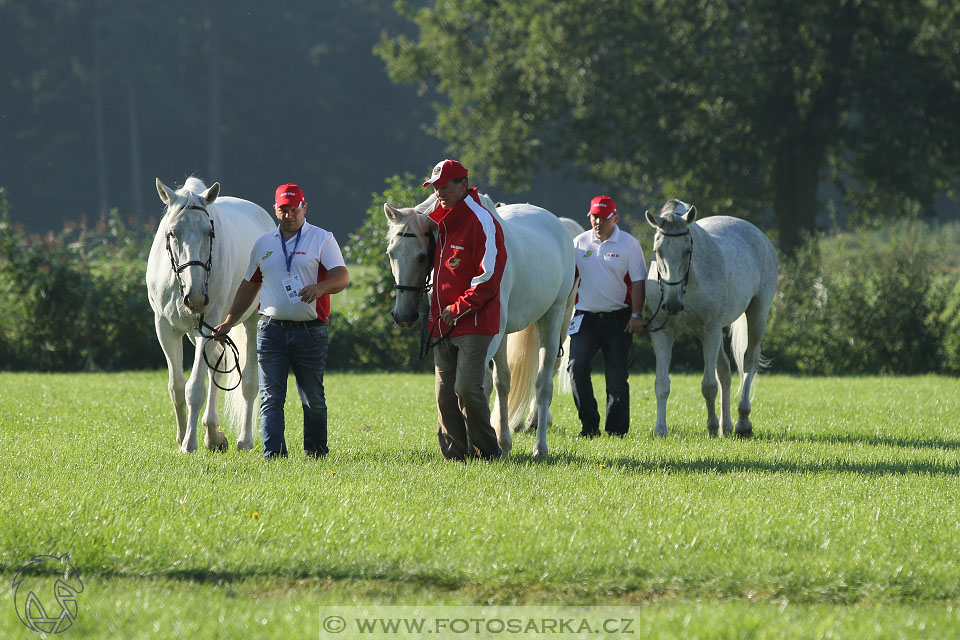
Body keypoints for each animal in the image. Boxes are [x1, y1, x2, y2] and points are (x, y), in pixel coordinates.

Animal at [146, 178, 276, 452]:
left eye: (210, 232)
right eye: (172, 233)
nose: (196, 297)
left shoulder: (208, 325)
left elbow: (194, 389)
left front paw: (189, 443)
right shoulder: (165, 328)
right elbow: (176, 387)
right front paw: (182, 435)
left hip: (249, 323)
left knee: (248, 383)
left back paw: (242, 440)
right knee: (216, 363)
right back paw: (213, 434)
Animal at [382, 192, 576, 458]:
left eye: (422, 256)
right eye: (391, 253)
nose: (403, 315)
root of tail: (559, 225)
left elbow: (475, 385)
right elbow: (482, 383)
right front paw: (492, 442)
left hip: (555, 319)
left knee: (544, 382)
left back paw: (540, 443)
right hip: (505, 335)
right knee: (503, 381)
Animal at [640, 201, 776, 440]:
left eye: (687, 250)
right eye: (658, 251)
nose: (672, 305)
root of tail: (759, 235)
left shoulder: (710, 331)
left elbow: (709, 386)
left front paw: (712, 428)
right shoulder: (662, 333)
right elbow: (662, 384)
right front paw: (660, 430)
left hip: (757, 314)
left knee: (749, 362)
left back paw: (742, 422)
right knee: (724, 370)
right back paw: (727, 425)